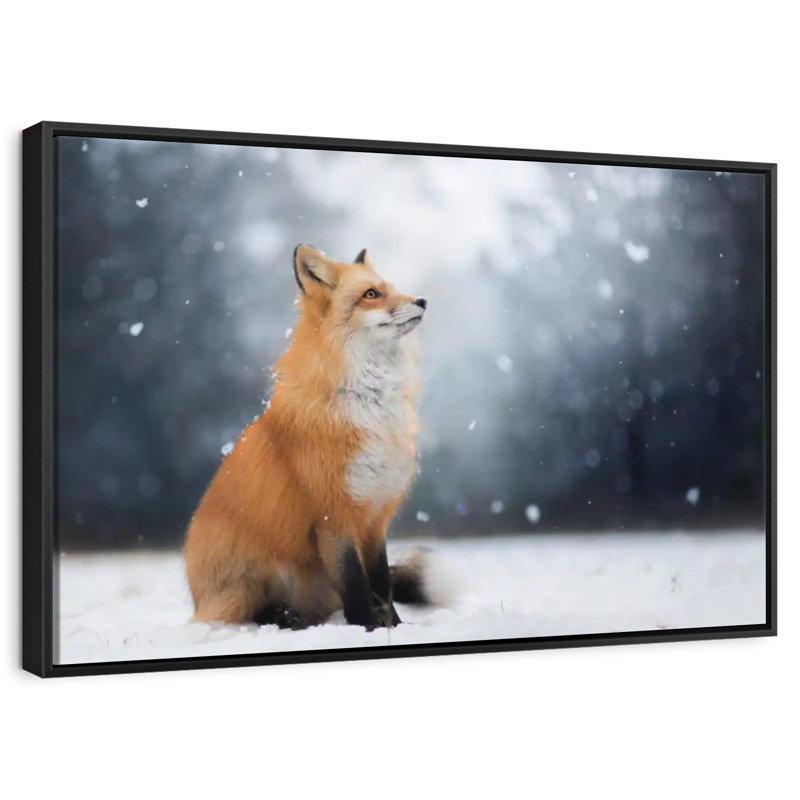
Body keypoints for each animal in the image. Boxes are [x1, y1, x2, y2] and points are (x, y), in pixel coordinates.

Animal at [183, 244, 429, 630]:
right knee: (252, 612)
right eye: (371, 295)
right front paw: (367, 628)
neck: (369, 404)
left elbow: (381, 583)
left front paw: (395, 628)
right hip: (252, 582)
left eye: (391, 288)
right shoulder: (333, 515)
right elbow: (356, 584)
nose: (422, 301)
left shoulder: (375, 515)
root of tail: (197, 599)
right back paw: (285, 618)